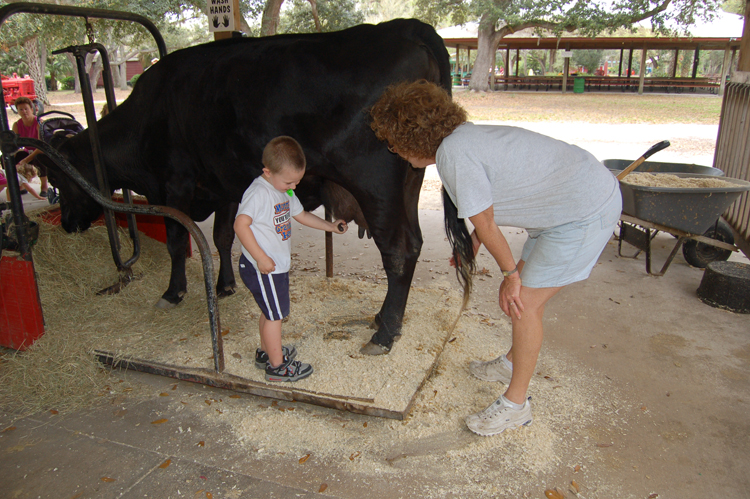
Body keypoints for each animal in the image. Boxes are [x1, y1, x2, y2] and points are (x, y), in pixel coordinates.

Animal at [39, 19, 452, 354]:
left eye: (57, 178)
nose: (67, 224)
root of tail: (404, 27)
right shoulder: (224, 185)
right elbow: (222, 236)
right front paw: (224, 286)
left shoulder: (174, 184)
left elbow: (177, 241)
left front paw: (173, 292)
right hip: (409, 182)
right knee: (414, 243)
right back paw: (383, 320)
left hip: (376, 185)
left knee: (398, 251)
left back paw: (385, 334)